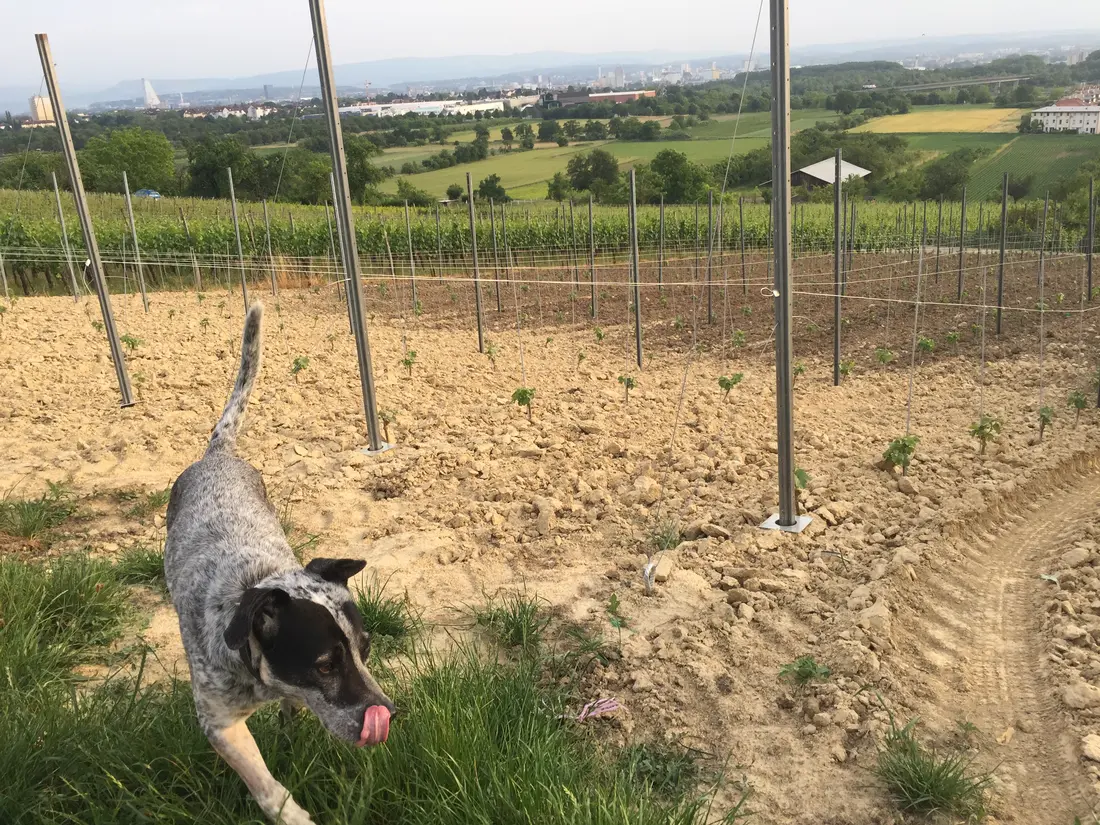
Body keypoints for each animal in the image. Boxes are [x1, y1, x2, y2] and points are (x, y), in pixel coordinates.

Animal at [165, 303, 393, 825]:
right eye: (325, 665)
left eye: (366, 649)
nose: (387, 713)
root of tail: (218, 454)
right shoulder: (219, 722)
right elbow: (267, 789)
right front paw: (293, 814)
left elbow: (294, 711)